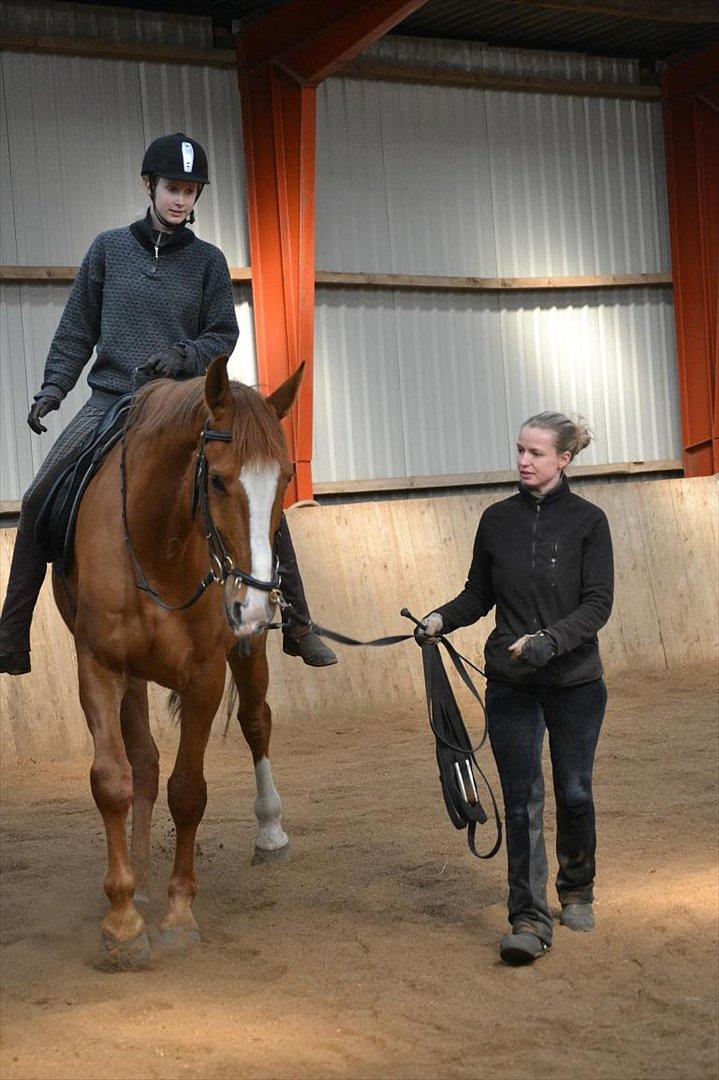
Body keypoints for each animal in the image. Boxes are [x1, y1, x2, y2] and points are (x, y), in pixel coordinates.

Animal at [54, 358, 300, 967]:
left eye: (285, 478)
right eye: (216, 480)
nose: (253, 604)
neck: (156, 550)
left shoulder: (206, 676)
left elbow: (189, 791)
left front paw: (180, 914)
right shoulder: (100, 668)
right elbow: (113, 780)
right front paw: (123, 920)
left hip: (247, 655)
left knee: (256, 721)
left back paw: (271, 833)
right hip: (134, 678)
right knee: (142, 761)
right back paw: (140, 875)